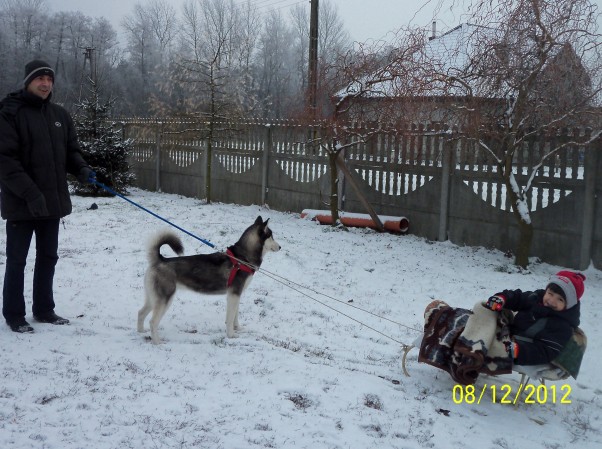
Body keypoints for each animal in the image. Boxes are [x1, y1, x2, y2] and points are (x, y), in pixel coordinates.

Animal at [139, 215, 282, 342]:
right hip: (165, 299)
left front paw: (238, 328)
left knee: (140, 313)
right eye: (271, 236)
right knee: (152, 322)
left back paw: (140, 331)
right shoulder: (234, 294)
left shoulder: (236, 294)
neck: (242, 258)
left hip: (153, 298)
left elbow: (235, 315)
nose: (280, 247)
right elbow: (230, 318)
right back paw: (157, 342)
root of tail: (160, 260)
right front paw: (231, 335)